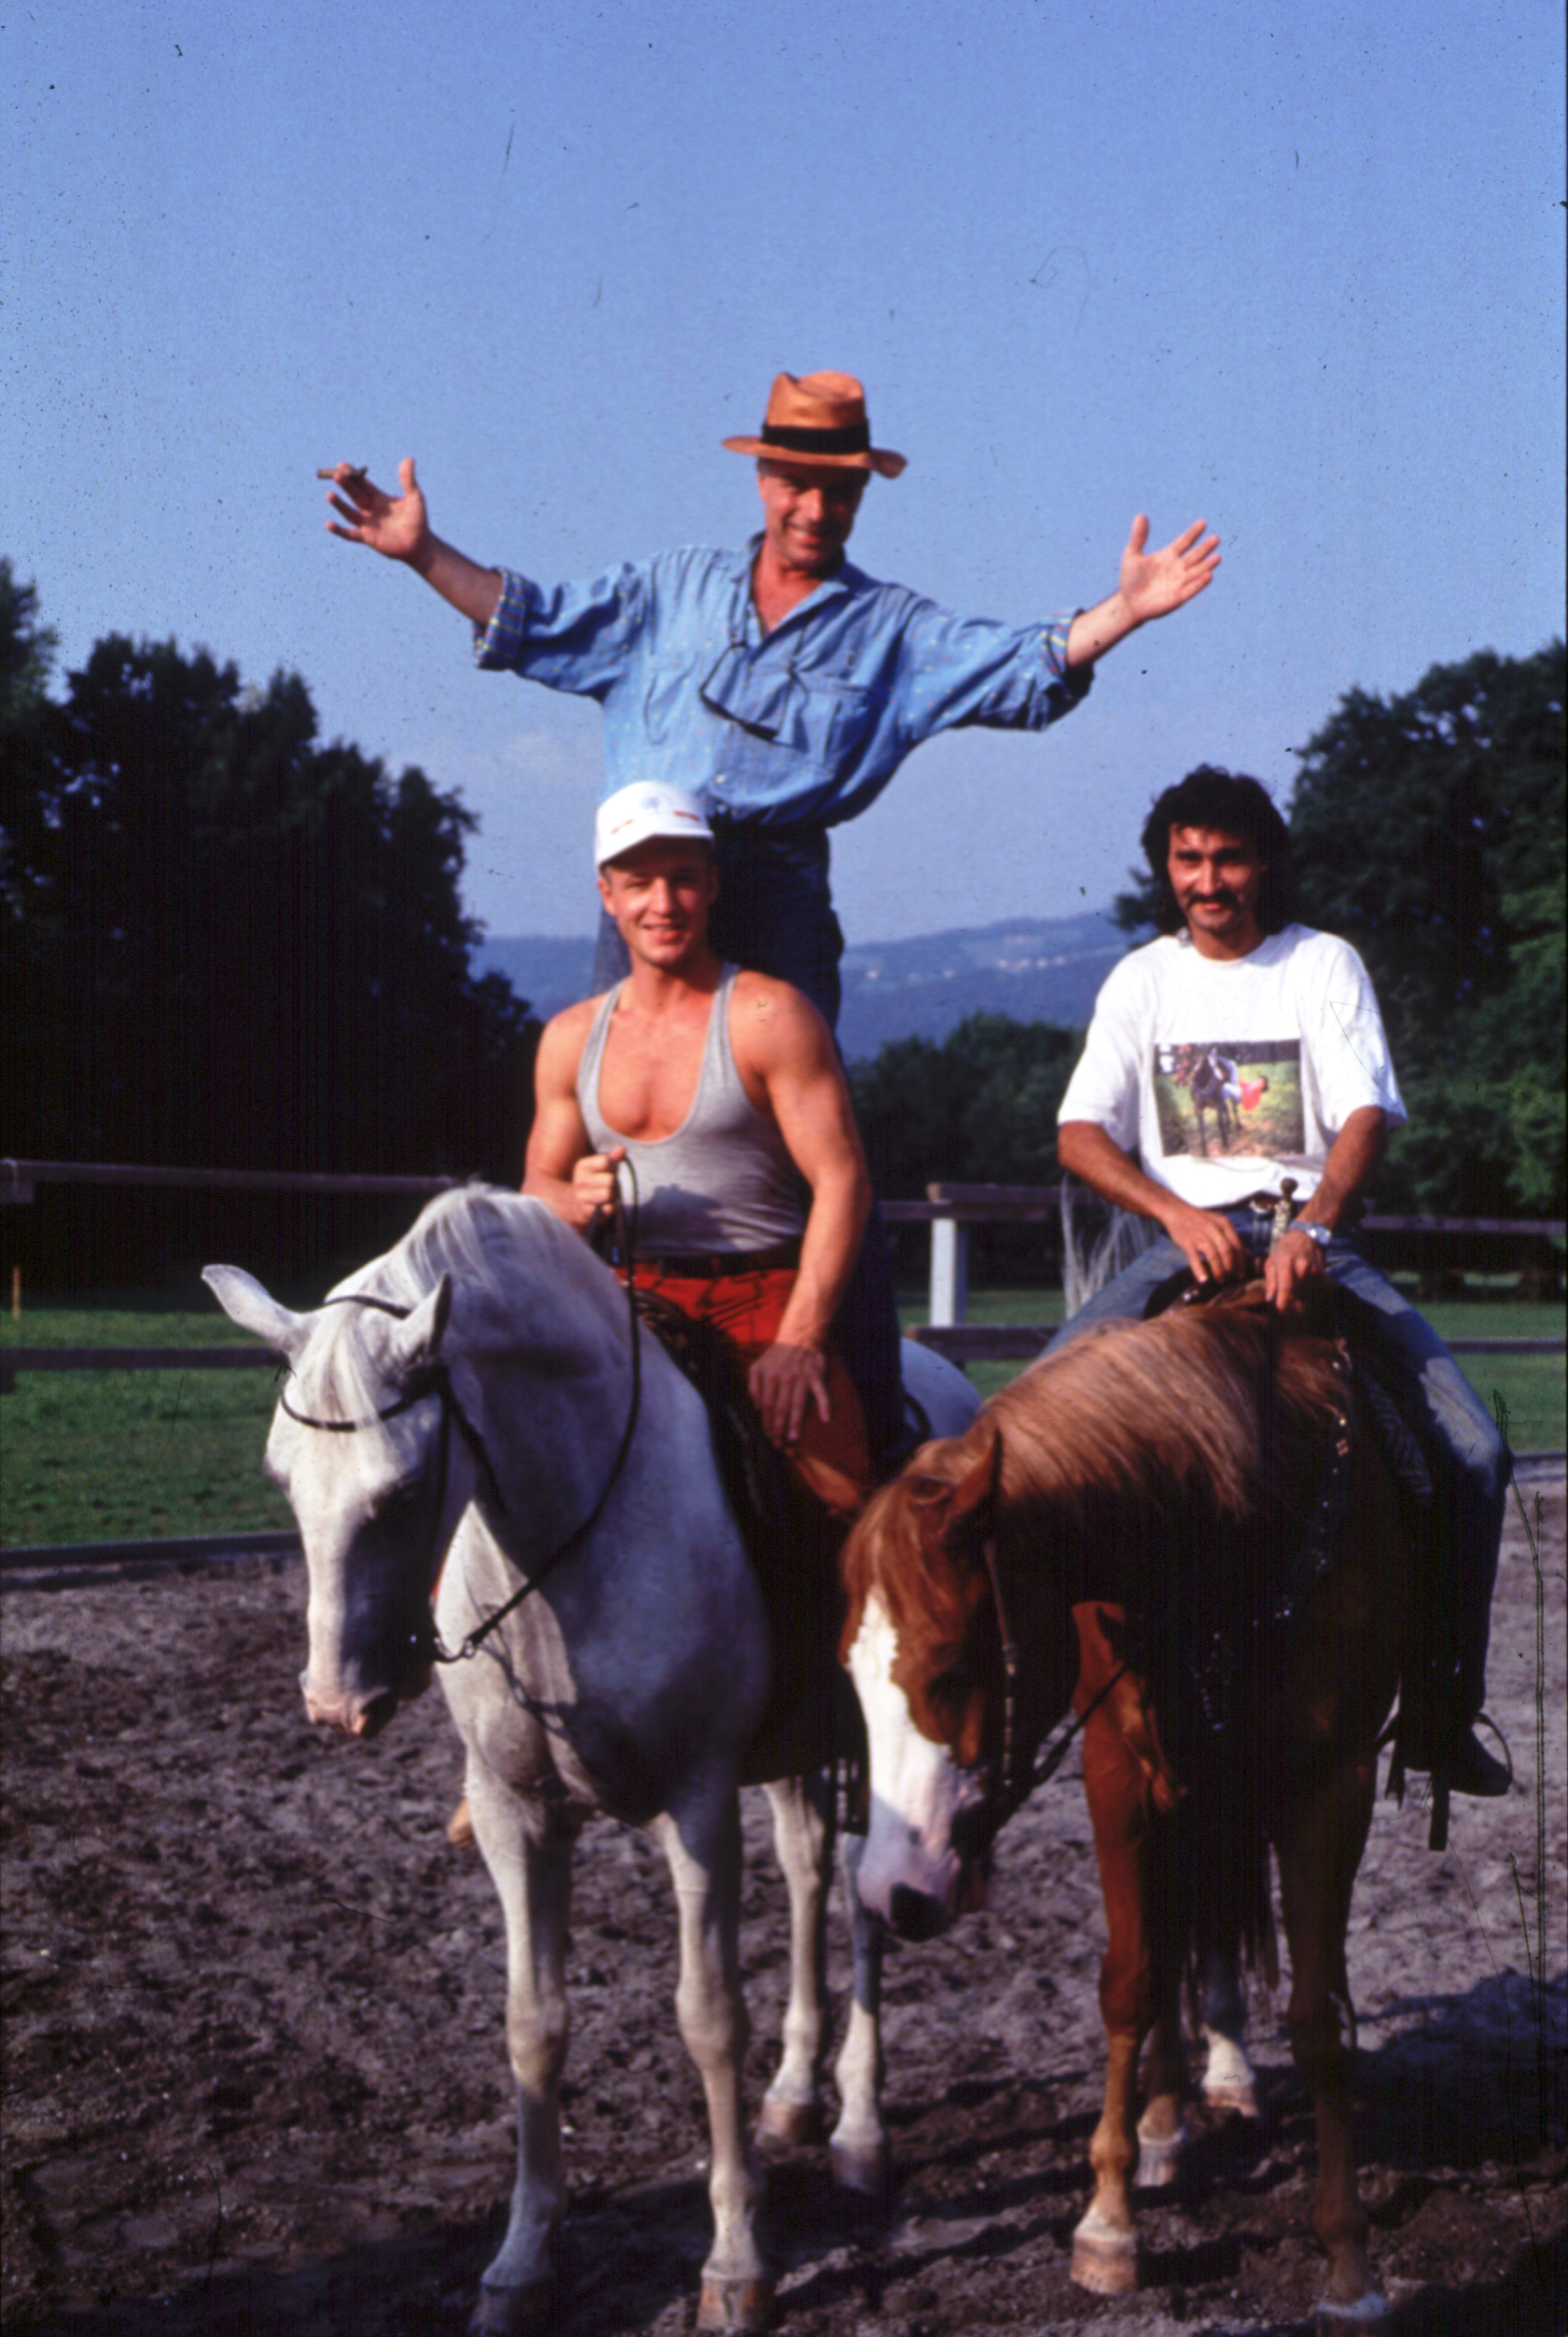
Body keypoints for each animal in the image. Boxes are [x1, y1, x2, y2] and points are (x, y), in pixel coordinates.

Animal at [201, 1187, 977, 2337]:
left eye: (401, 1489)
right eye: (280, 1480)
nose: (337, 1703)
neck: (569, 1548)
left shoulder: (696, 1806)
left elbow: (709, 2018)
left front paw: (736, 2262)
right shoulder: (514, 1813)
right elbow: (533, 2026)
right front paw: (521, 2263)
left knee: (860, 1897)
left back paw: (859, 2130)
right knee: (804, 1875)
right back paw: (797, 2096)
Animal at [845, 1289, 1411, 2327]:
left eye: (950, 1672)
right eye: (850, 1675)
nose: (891, 1892)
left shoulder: (1332, 1783)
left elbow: (1319, 2020)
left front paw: (1349, 2262)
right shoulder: (1123, 1774)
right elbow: (1130, 1980)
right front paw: (1107, 2223)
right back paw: (1161, 2126)